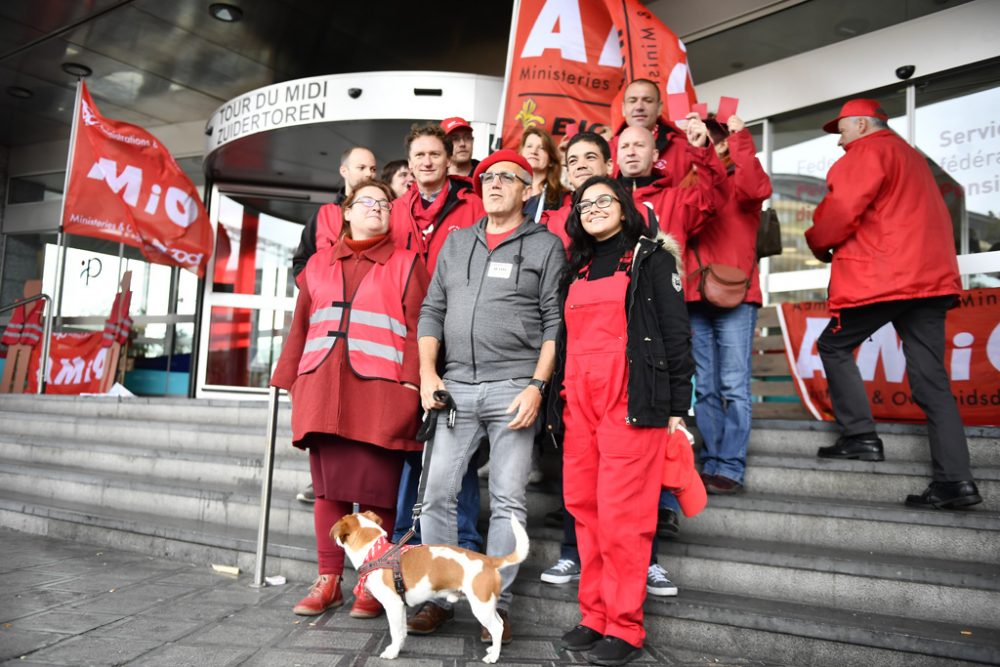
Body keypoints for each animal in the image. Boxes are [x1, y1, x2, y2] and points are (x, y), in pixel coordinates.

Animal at [330, 512, 532, 664]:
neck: (377, 552)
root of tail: (488, 560)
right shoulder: (400, 606)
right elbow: (402, 631)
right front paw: (398, 647)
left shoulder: (393, 606)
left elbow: (395, 632)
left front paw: (392, 652)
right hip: (487, 604)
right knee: (500, 623)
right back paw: (493, 648)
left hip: (480, 606)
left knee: (497, 628)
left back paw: (493, 657)